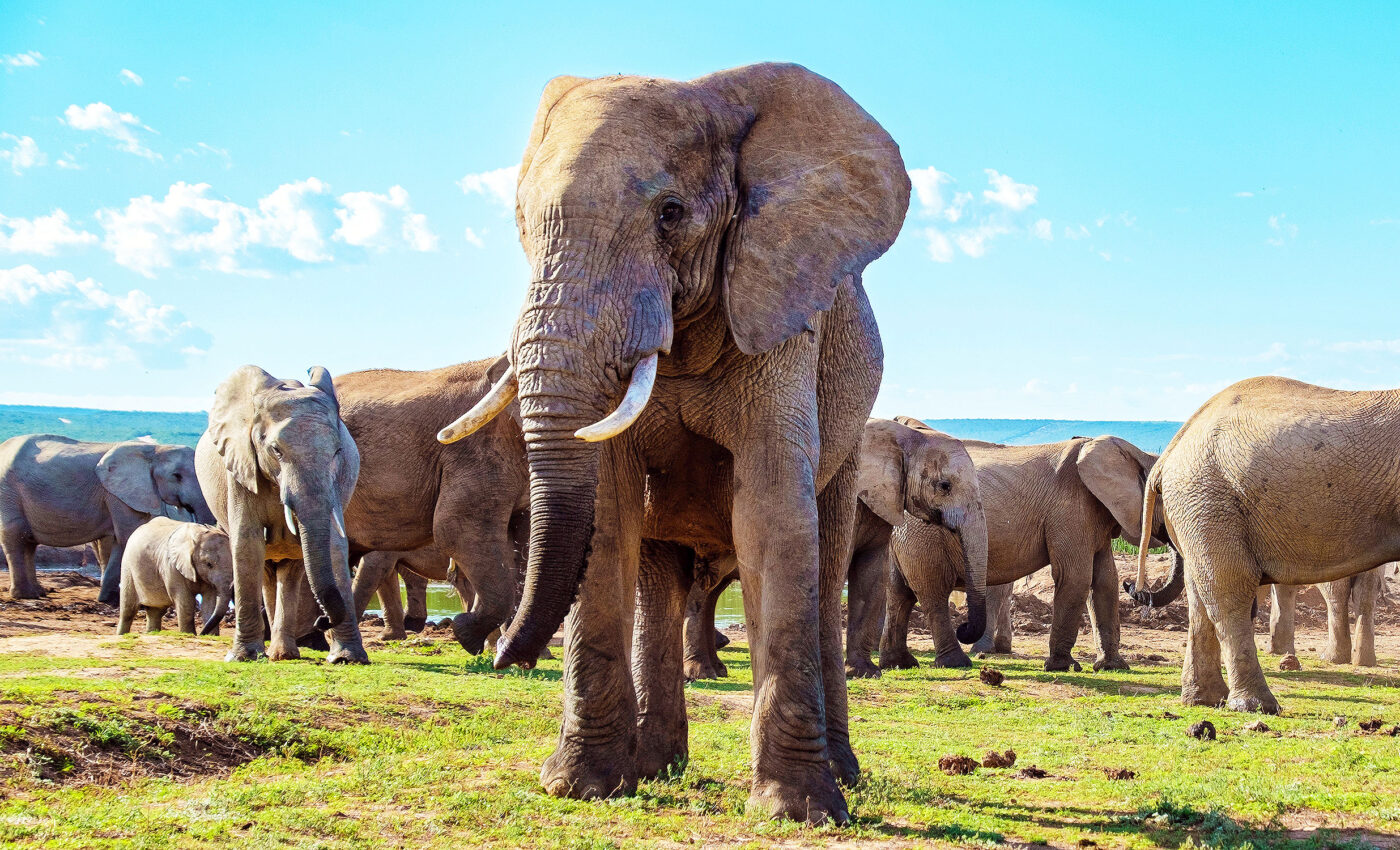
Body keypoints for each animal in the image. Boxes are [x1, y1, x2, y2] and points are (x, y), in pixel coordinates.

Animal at [0, 435, 213, 601]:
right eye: (176, 476)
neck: (155, 450)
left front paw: (109, 599)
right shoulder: (116, 494)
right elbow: (126, 536)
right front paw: (111, 601)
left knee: (29, 543)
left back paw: (38, 593)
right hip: (8, 492)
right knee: (15, 537)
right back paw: (25, 595)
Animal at [195, 365, 367, 664]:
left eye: (337, 452)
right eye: (276, 450)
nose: (321, 621)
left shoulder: (337, 481)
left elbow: (335, 544)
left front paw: (347, 659)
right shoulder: (241, 467)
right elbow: (247, 542)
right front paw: (243, 657)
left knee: (291, 570)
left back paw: (283, 654)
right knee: (266, 568)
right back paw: (276, 654)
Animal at [435, 63, 910, 822]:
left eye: (671, 214)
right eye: (520, 223)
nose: (501, 652)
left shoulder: (779, 311)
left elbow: (773, 516)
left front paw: (797, 810)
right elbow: (609, 516)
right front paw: (579, 786)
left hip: (852, 432)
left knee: (825, 554)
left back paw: (845, 776)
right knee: (658, 576)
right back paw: (655, 769)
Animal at [882, 421, 1175, 671]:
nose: (1132, 585)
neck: (1135, 453)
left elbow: (1104, 581)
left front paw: (1112, 667)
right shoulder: (1069, 511)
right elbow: (1076, 577)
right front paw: (1062, 667)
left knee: (899, 592)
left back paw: (899, 663)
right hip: (923, 534)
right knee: (932, 591)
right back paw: (957, 662)